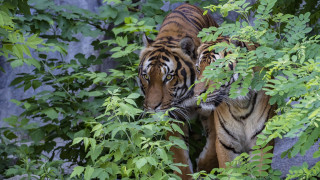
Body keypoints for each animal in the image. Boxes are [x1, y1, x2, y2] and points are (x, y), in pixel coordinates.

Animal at [138, 3, 220, 179]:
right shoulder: (172, 116)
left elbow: (212, 146)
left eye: (168, 77)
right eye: (146, 76)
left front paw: (204, 169)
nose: (152, 107)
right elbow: (179, 155)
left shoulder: (210, 109)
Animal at [191, 36, 276, 170]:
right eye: (198, 69)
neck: (241, 105)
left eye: (217, 70)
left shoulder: (261, 141)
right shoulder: (226, 144)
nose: (197, 95)